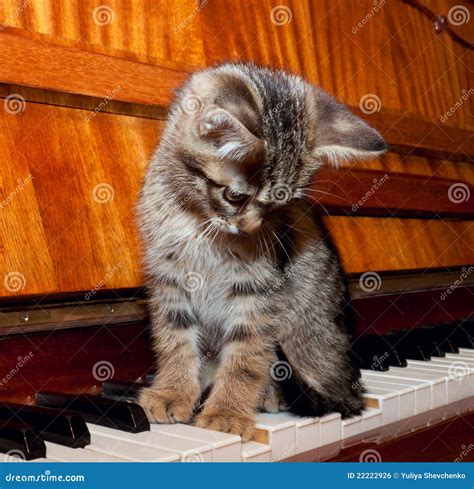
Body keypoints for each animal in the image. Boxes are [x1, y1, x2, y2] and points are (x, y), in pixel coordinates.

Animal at [136, 61, 386, 438]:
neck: (199, 222)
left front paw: (227, 412)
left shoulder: (258, 289)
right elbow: (175, 340)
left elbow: (246, 356)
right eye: (234, 197)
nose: (251, 227)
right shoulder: (169, 280)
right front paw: (172, 392)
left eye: (279, 205)